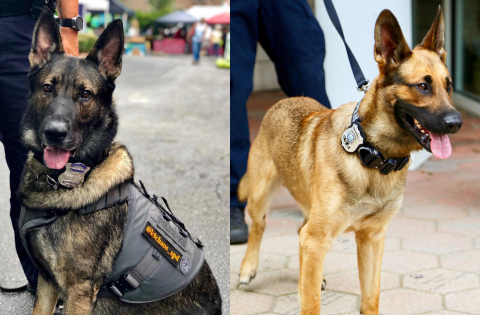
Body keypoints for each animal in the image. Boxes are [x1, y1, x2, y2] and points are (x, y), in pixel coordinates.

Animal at [16, 7, 222, 315]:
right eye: (47, 88)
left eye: (85, 95)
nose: (54, 133)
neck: (59, 180)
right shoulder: (47, 281)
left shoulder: (78, 291)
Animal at [238, 7, 464, 315]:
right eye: (422, 86)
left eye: (449, 86)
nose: (457, 123)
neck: (374, 155)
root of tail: (284, 101)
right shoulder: (318, 238)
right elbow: (312, 304)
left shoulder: (371, 238)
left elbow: (370, 297)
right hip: (260, 195)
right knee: (259, 225)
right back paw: (248, 268)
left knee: (298, 233)